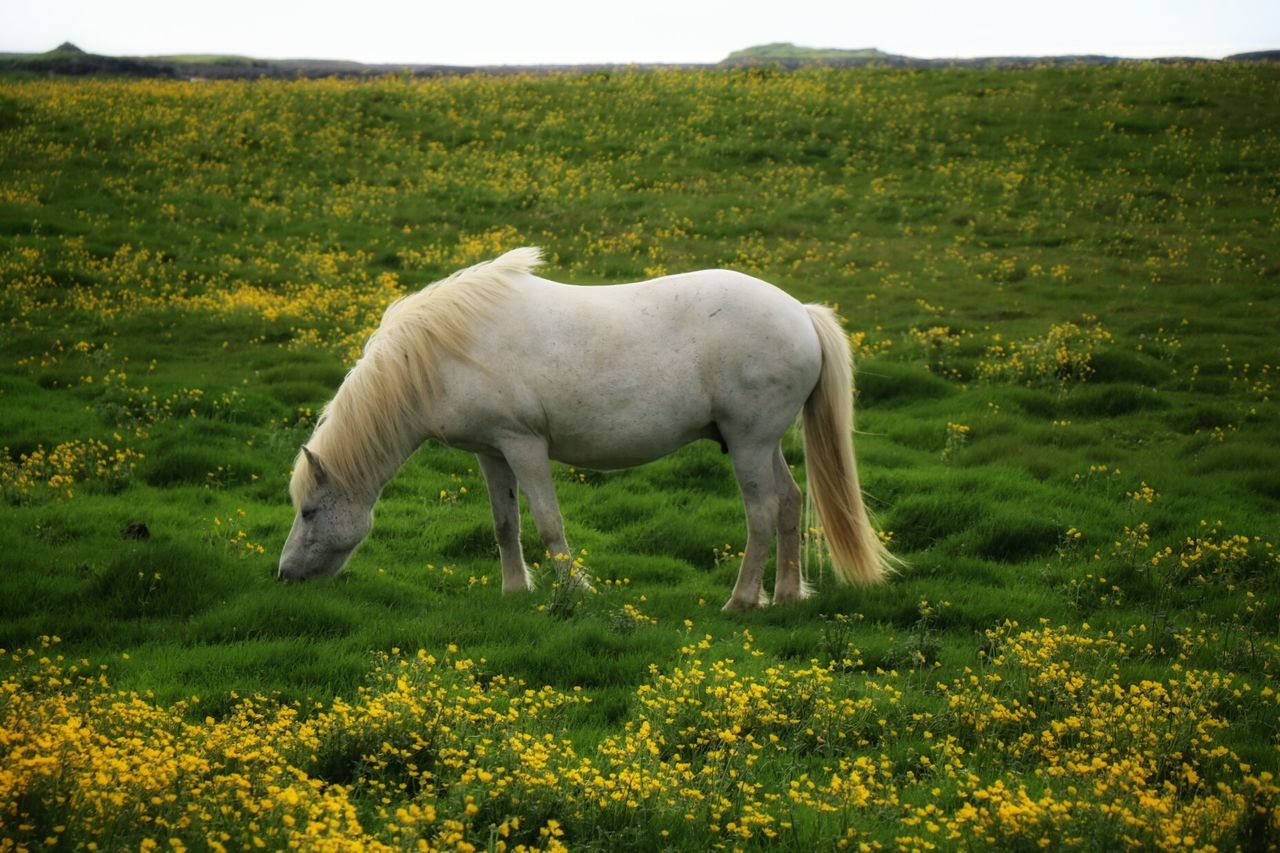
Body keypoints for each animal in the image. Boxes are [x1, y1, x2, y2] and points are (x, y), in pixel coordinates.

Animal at [279, 249, 890, 607]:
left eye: (308, 512)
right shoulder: (491, 452)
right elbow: (505, 524)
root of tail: (800, 312)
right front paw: (514, 590)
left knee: (761, 513)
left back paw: (741, 601)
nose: (284, 575)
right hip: (761, 445)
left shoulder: (524, 445)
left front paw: (574, 591)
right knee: (788, 503)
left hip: (748, 443)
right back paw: (786, 595)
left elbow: (548, 524)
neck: (442, 353)